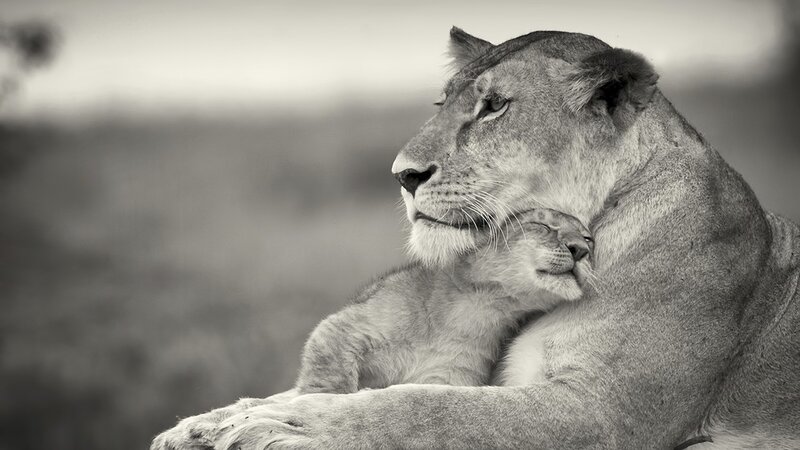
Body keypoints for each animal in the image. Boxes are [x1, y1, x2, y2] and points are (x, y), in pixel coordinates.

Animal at [152, 28, 800, 449]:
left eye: (493, 108)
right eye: (444, 103)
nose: (403, 175)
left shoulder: (606, 412)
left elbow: (427, 408)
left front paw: (293, 426)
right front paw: (212, 422)